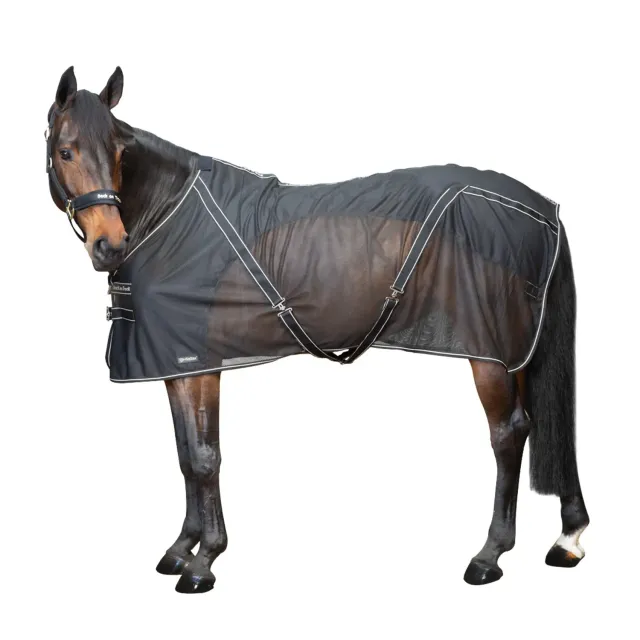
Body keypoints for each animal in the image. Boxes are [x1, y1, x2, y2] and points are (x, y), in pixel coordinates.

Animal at [46, 65, 589, 594]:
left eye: (119, 151)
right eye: (65, 151)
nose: (110, 245)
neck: (172, 214)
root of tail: (543, 209)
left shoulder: (200, 365)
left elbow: (204, 457)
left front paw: (204, 562)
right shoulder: (177, 366)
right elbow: (184, 455)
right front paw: (181, 549)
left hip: (489, 354)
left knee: (508, 433)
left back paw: (489, 555)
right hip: (517, 350)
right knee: (538, 423)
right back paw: (568, 538)